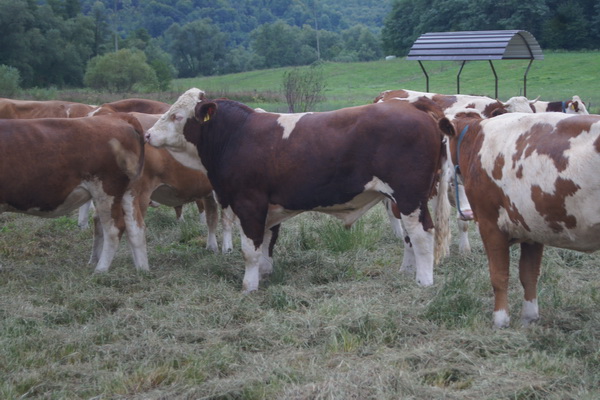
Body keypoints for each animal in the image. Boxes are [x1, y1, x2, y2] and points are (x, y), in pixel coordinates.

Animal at [0, 112, 148, 272]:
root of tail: (119, 117)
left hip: (107, 190)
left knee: (114, 229)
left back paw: (100, 270)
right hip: (129, 191)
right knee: (136, 228)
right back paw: (142, 270)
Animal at [146, 89, 450, 292]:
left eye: (176, 115)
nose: (148, 134)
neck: (236, 136)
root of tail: (414, 105)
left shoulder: (249, 202)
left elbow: (250, 249)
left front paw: (249, 286)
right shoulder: (268, 207)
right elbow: (267, 242)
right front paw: (265, 274)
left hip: (410, 196)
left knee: (422, 234)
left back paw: (423, 281)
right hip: (404, 199)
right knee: (410, 237)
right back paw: (406, 271)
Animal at [438, 109, 600, 328]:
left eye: (444, 141)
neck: (478, 140)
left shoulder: (490, 224)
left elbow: (499, 275)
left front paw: (500, 319)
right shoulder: (532, 227)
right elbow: (529, 275)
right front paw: (529, 316)